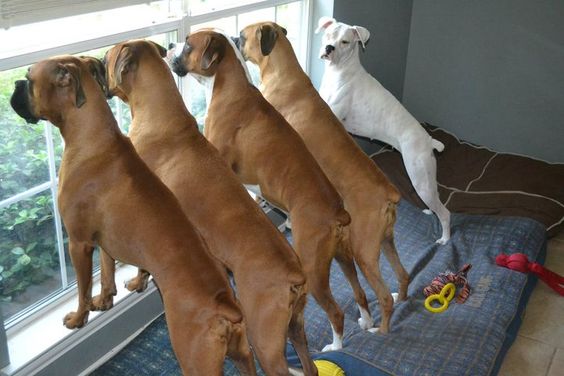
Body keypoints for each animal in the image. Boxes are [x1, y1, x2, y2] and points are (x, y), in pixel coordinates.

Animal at [9, 56, 256, 376]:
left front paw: (78, 318)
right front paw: (105, 299)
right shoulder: (102, 241)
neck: (95, 140)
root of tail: (225, 305)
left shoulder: (78, 243)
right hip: (244, 356)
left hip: (195, 359)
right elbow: (106, 271)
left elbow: (83, 288)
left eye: (29, 79)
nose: (15, 84)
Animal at [102, 39, 318, 374]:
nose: (98, 61)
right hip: (295, 329)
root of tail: (293, 273)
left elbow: (142, 262)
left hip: (265, 342)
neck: (162, 117)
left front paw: (137, 280)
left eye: (109, 55)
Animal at [170, 30, 374, 352]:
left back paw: (336, 346)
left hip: (314, 270)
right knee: (359, 289)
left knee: (335, 312)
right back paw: (365, 320)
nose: (169, 46)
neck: (230, 86)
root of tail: (337, 211)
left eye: (188, 45)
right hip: (344, 257)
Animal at [238, 22, 410, 334]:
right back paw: (401, 299)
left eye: (244, 36)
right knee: (403, 276)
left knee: (382, 296)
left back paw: (381, 330)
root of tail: (388, 193)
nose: (234, 38)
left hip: (364, 251)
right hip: (385, 242)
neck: (285, 74)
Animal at [320, 17, 452, 245]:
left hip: (420, 178)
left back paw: (444, 239)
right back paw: (429, 212)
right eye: (328, 35)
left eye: (345, 42)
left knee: (445, 213)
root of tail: (429, 140)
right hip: (424, 181)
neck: (341, 71)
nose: (329, 48)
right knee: (435, 205)